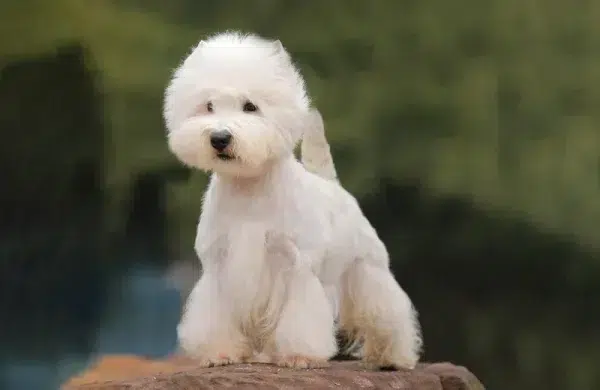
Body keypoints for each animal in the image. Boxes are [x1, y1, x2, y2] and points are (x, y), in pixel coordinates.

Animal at [162, 31, 420, 368]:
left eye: (250, 106)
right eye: (208, 106)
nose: (219, 138)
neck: (248, 187)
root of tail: (333, 185)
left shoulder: (296, 265)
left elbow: (300, 316)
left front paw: (299, 355)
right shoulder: (218, 266)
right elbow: (216, 315)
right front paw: (220, 352)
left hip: (367, 269)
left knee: (387, 311)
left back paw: (394, 356)